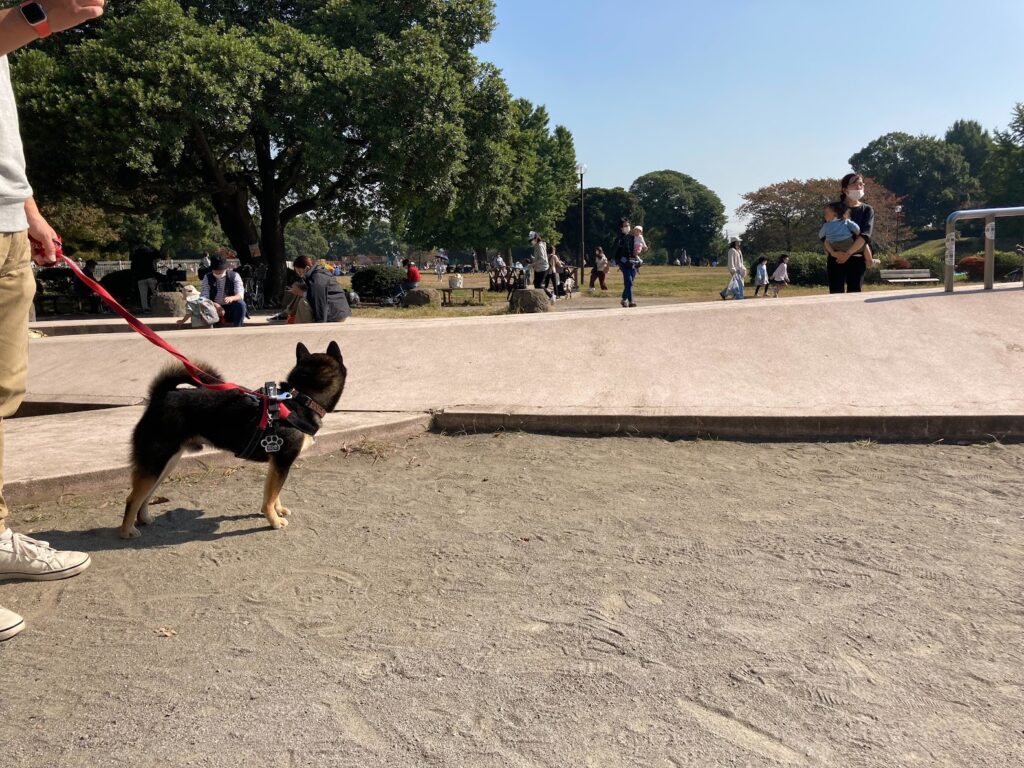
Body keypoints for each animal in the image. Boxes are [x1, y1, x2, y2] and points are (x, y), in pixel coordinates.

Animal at [120, 342, 348, 540]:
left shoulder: (277, 464)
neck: (300, 400)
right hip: (156, 462)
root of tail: (160, 396)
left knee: (146, 496)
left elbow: (274, 493)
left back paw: (144, 518)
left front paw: (278, 510)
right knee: (133, 498)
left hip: (165, 464)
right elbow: (270, 497)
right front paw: (273, 521)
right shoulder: (283, 461)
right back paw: (126, 531)